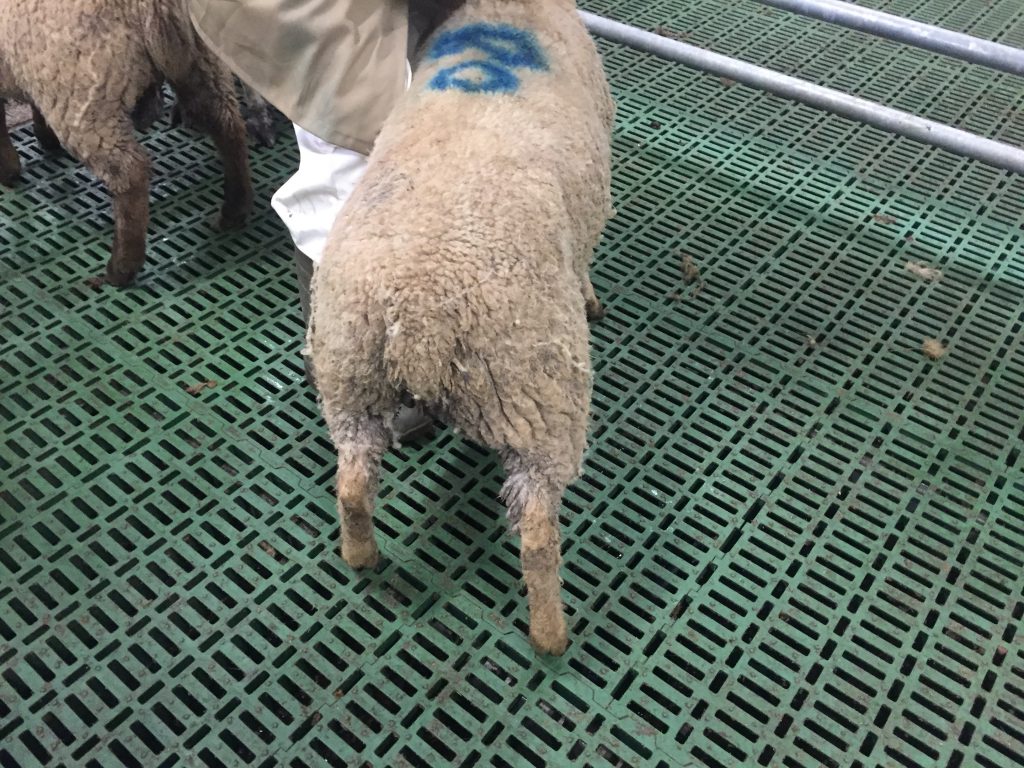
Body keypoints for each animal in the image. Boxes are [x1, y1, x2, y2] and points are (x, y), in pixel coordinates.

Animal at [0, 0, 253, 286]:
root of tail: (153, 5)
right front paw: (42, 138)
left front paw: (8, 169)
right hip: (202, 60)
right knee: (228, 126)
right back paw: (234, 210)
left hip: (82, 93)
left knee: (129, 174)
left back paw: (120, 269)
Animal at [310, 0, 614, 655]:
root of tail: (418, 314)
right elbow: (583, 267)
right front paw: (591, 298)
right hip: (539, 400)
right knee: (536, 534)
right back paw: (552, 635)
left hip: (349, 377)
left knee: (351, 482)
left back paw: (361, 557)